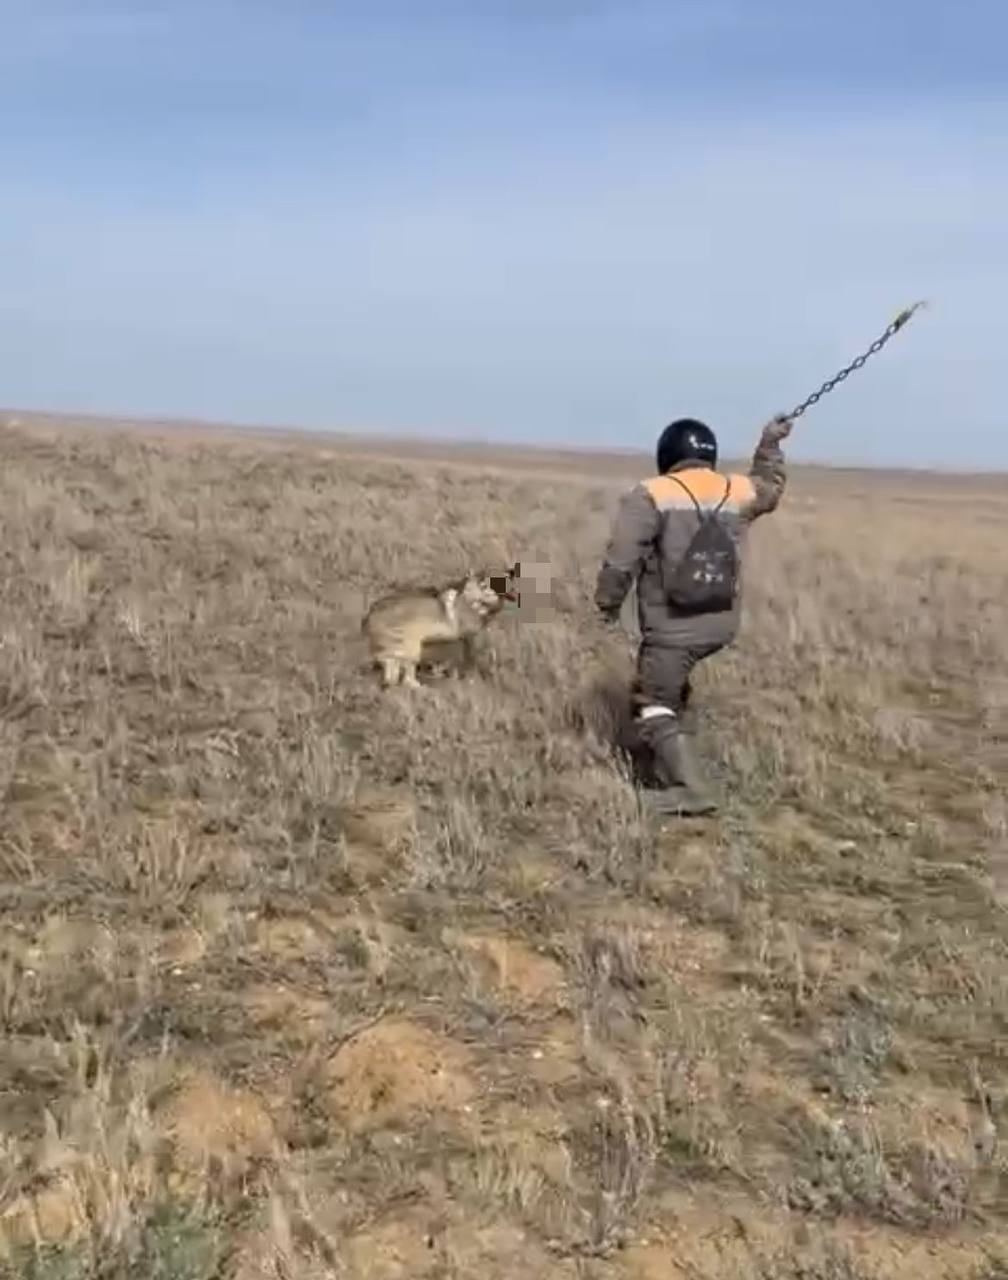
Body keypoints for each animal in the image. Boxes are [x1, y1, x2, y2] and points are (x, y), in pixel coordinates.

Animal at [360, 570, 511, 691]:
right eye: (484, 585)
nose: (501, 598)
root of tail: (369, 616)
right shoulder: (471, 629)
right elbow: (487, 647)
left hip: (397, 651)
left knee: (392, 674)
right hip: (411, 647)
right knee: (405, 678)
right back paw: (421, 686)